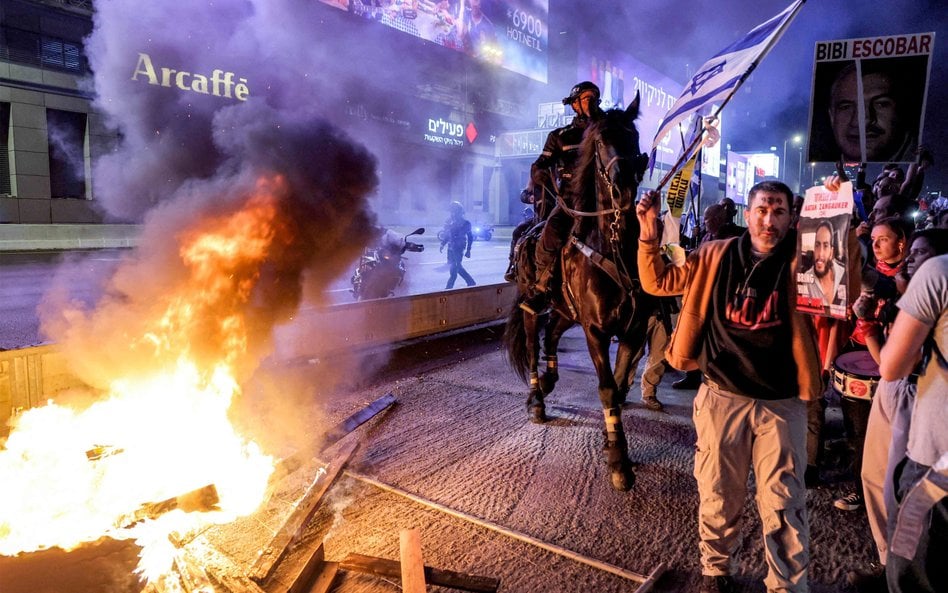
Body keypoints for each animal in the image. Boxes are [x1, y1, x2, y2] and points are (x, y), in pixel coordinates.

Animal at [504, 98, 652, 490]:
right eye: (600, 142)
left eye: (633, 136)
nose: (623, 186)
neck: (613, 244)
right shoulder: (596, 331)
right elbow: (606, 387)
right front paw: (619, 460)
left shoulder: (633, 331)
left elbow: (620, 385)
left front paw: (611, 439)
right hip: (533, 305)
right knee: (533, 345)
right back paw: (536, 398)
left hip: (566, 311)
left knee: (553, 334)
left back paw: (550, 377)